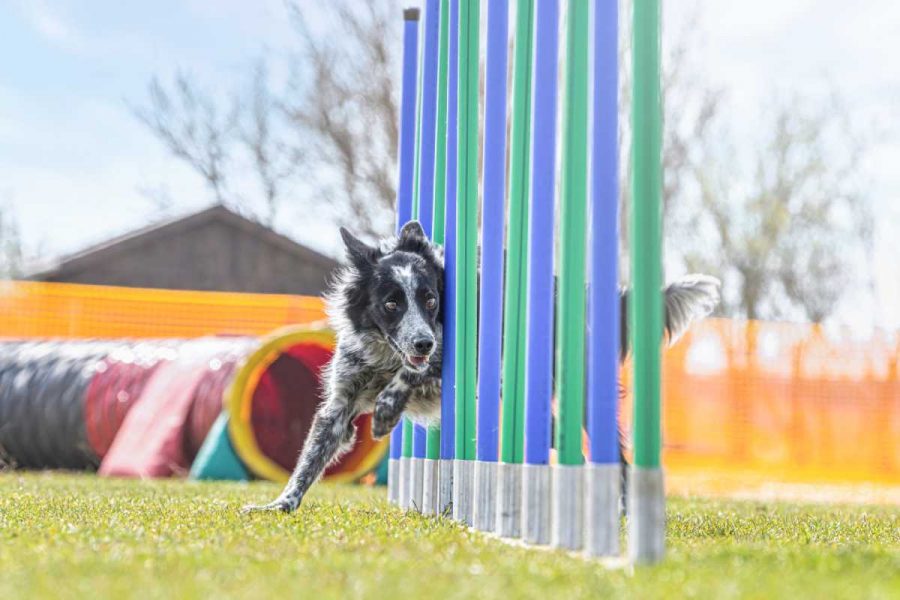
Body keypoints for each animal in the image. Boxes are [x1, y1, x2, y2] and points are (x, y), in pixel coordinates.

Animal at [243, 223, 720, 512]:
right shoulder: (340, 403)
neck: (387, 356)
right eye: (391, 303)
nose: (422, 341)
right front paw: (279, 504)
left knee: (613, 454)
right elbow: (310, 458)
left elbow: (415, 373)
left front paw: (386, 411)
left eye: (431, 299)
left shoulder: (448, 355)